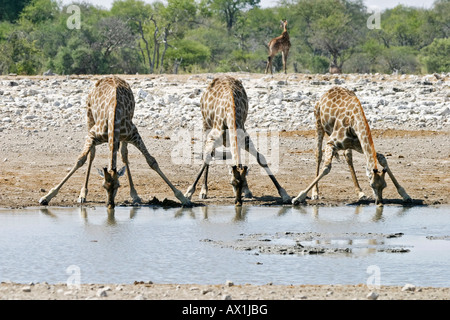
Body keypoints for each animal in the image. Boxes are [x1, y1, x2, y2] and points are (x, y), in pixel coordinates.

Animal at [39, 76, 192, 209]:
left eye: (118, 186)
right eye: (103, 186)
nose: (110, 205)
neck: (113, 116)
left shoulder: (133, 134)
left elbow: (152, 161)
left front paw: (183, 198)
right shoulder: (92, 134)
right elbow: (80, 160)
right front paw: (47, 197)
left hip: (125, 132)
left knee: (124, 155)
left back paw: (134, 195)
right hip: (89, 117)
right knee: (92, 155)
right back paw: (83, 194)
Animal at [185, 75, 290, 205]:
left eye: (243, 182)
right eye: (232, 183)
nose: (238, 202)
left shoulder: (245, 138)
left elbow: (261, 159)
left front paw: (284, 193)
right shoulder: (213, 137)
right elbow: (207, 158)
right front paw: (189, 193)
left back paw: (247, 192)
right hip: (206, 125)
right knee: (209, 156)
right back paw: (204, 191)